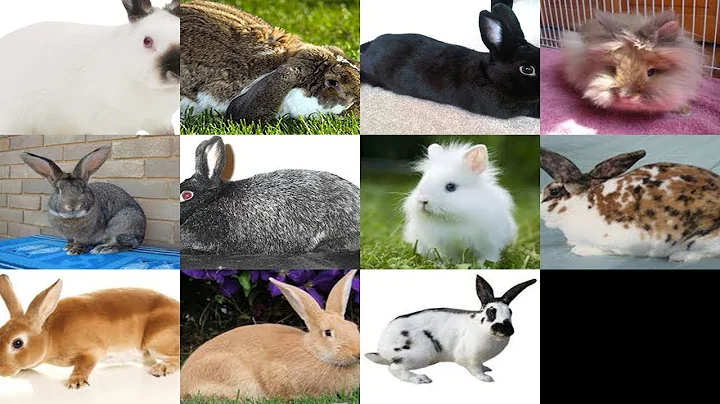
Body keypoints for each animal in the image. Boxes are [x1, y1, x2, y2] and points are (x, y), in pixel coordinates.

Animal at [0, 274, 180, 389]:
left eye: (17, 343)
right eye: (0, 332)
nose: (1, 369)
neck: (49, 336)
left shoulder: (92, 350)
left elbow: (84, 365)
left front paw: (76, 382)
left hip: (156, 341)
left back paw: (161, 369)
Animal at [366, 274, 536, 384]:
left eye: (510, 312)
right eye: (491, 312)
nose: (505, 330)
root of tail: (382, 348)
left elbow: (481, 366)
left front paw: (487, 368)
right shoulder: (471, 358)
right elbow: (476, 370)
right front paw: (486, 378)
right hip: (419, 354)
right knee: (394, 369)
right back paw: (421, 379)